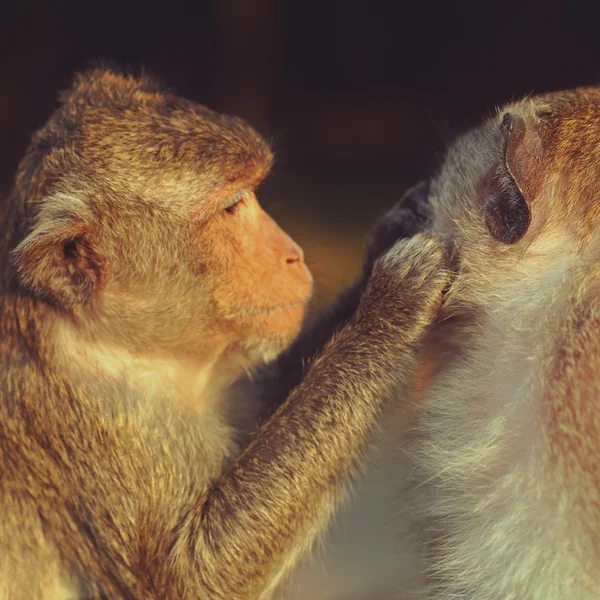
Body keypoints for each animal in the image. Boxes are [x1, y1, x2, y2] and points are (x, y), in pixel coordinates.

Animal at [0, 68, 450, 596]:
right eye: (233, 206)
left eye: (253, 194)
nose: (293, 254)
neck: (113, 343)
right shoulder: (108, 423)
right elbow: (198, 577)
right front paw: (390, 305)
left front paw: (391, 236)